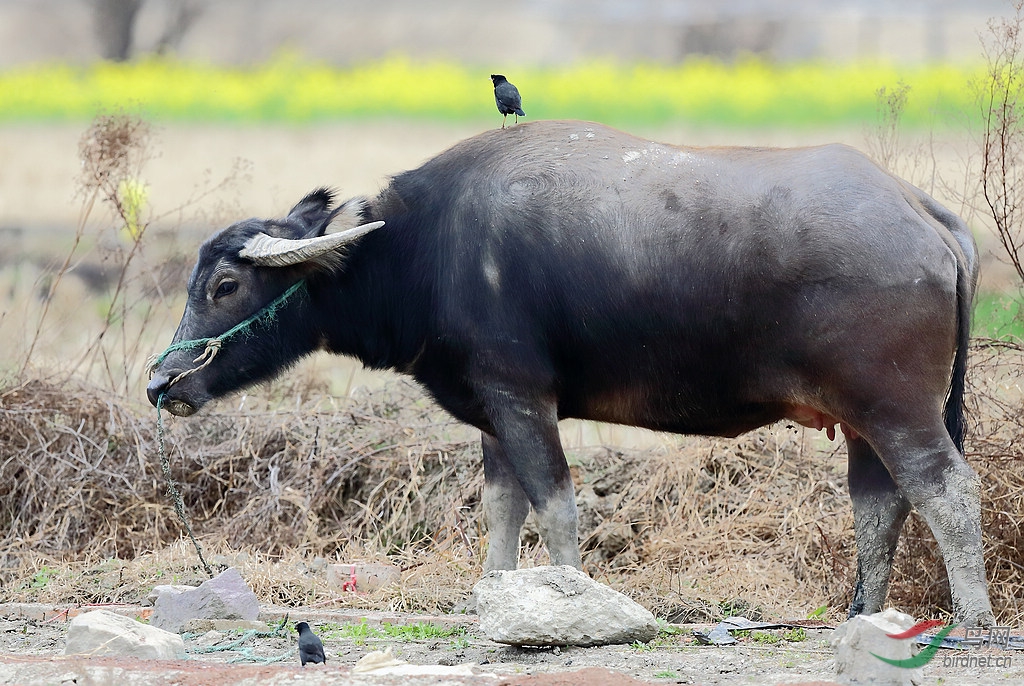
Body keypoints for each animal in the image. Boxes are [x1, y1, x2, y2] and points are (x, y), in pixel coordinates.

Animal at [148, 119, 995, 630]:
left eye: (226, 284)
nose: (162, 385)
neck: (424, 250)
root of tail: (923, 214)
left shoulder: (523, 398)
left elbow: (555, 505)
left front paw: (573, 601)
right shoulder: (491, 412)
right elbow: (501, 511)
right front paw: (491, 598)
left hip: (896, 405)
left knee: (946, 489)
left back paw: (974, 618)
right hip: (860, 418)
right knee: (879, 502)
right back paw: (864, 616)